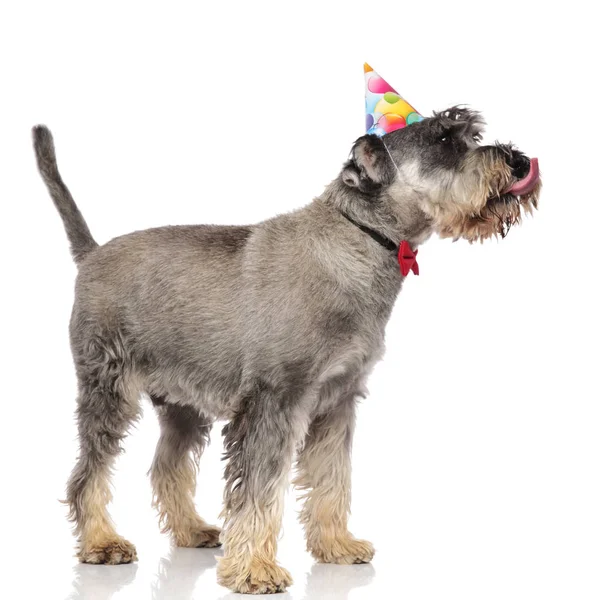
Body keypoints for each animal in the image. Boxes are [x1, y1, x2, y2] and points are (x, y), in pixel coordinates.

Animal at [31, 109, 540, 596]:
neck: (358, 240)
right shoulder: (273, 402)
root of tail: (92, 255)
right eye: (443, 138)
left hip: (182, 404)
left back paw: (191, 530)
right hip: (108, 390)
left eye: (471, 135)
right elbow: (260, 492)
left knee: (166, 466)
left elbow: (333, 476)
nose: (518, 162)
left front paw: (336, 544)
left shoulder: (337, 402)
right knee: (89, 473)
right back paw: (101, 542)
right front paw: (255, 570)